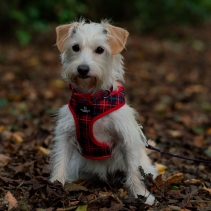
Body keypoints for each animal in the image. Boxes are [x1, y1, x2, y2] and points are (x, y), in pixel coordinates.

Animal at [49, 19, 157, 204]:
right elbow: (61, 161)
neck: (91, 100)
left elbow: (134, 171)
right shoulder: (66, 135)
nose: (82, 69)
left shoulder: (126, 138)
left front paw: (142, 194)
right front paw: (56, 184)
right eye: (75, 47)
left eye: (100, 49)